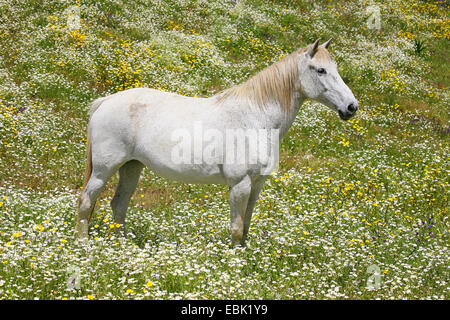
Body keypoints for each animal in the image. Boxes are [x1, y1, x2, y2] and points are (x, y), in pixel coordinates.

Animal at [76, 39, 358, 245]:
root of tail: (106, 101)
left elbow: (246, 225)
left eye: (335, 69)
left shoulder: (257, 184)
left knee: (119, 204)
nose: (351, 107)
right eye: (320, 70)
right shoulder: (240, 184)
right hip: (103, 170)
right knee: (86, 203)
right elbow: (236, 228)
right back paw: (85, 247)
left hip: (132, 167)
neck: (255, 118)